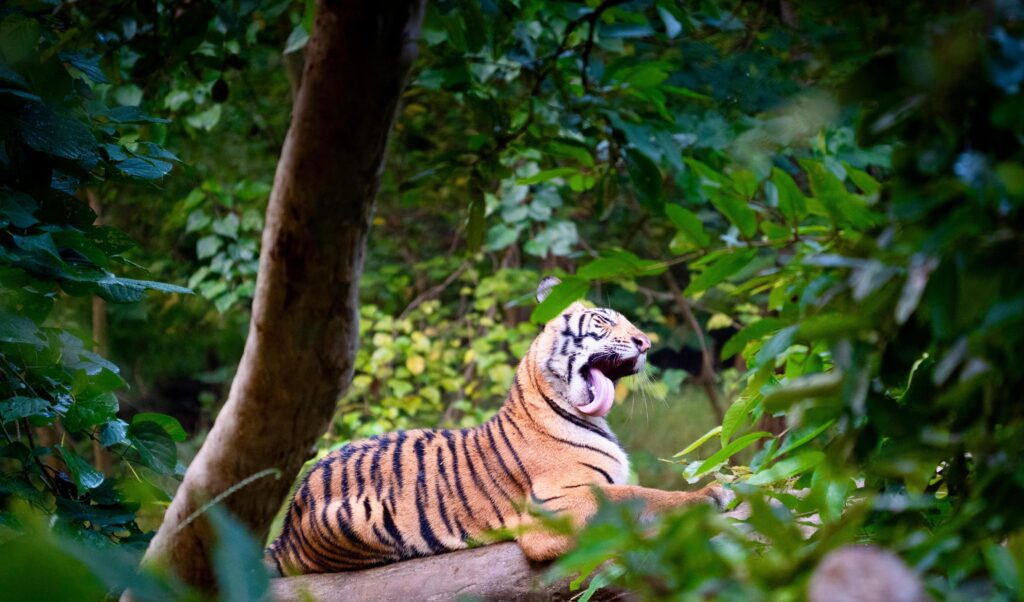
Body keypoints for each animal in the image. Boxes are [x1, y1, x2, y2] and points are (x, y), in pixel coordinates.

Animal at [265, 276, 733, 576]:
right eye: (603, 322)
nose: (646, 343)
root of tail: (287, 525)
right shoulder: (557, 504)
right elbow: (640, 496)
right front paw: (711, 494)